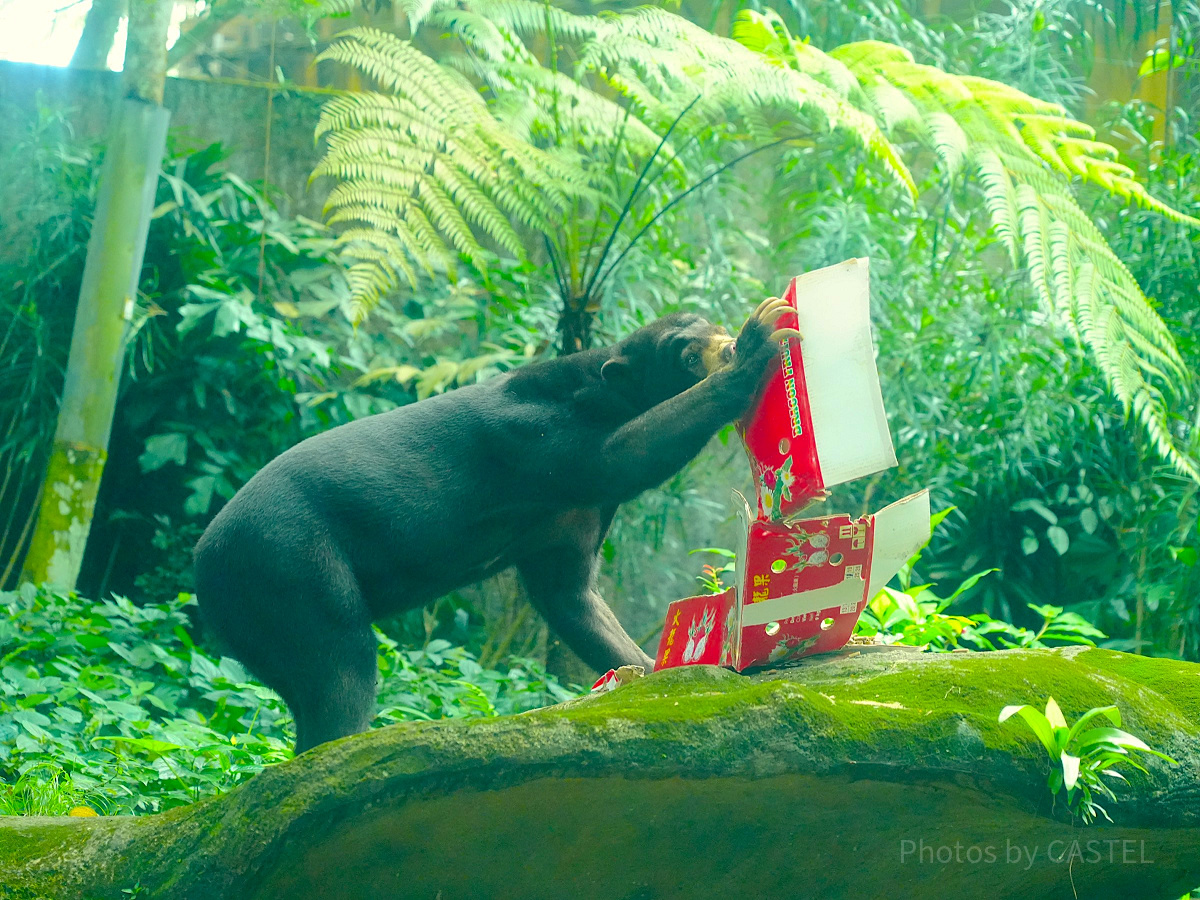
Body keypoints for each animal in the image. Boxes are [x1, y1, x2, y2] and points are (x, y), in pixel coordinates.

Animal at [194, 297, 796, 753]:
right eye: (686, 354)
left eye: (715, 329)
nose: (727, 345)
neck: (600, 392)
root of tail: (205, 569)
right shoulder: (539, 439)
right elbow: (622, 455)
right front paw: (760, 342)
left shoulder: (568, 523)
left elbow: (575, 602)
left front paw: (654, 671)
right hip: (293, 570)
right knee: (340, 667)